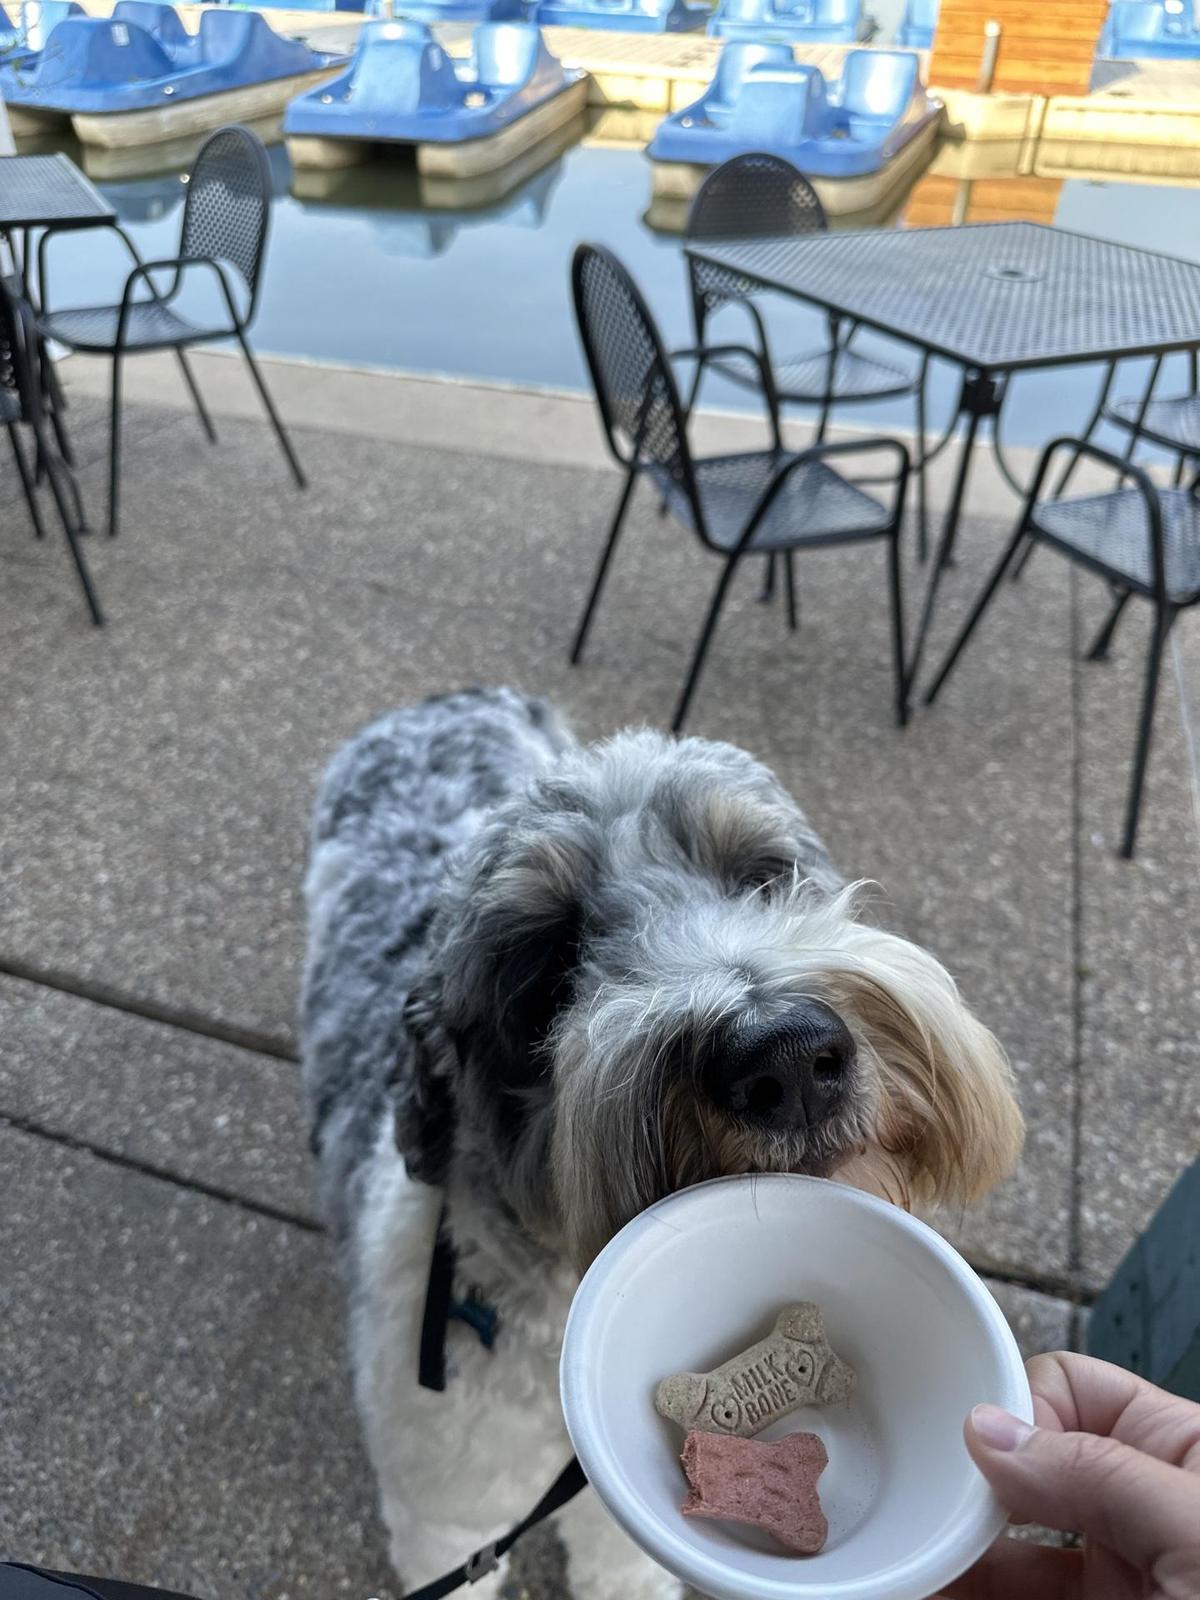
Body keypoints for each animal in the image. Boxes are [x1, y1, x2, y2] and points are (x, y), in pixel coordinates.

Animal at [300, 684, 1024, 1600]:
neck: (558, 1314)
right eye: (548, 966)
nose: (786, 1057)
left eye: (763, 877)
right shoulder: (450, 1515)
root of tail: (445, 697)